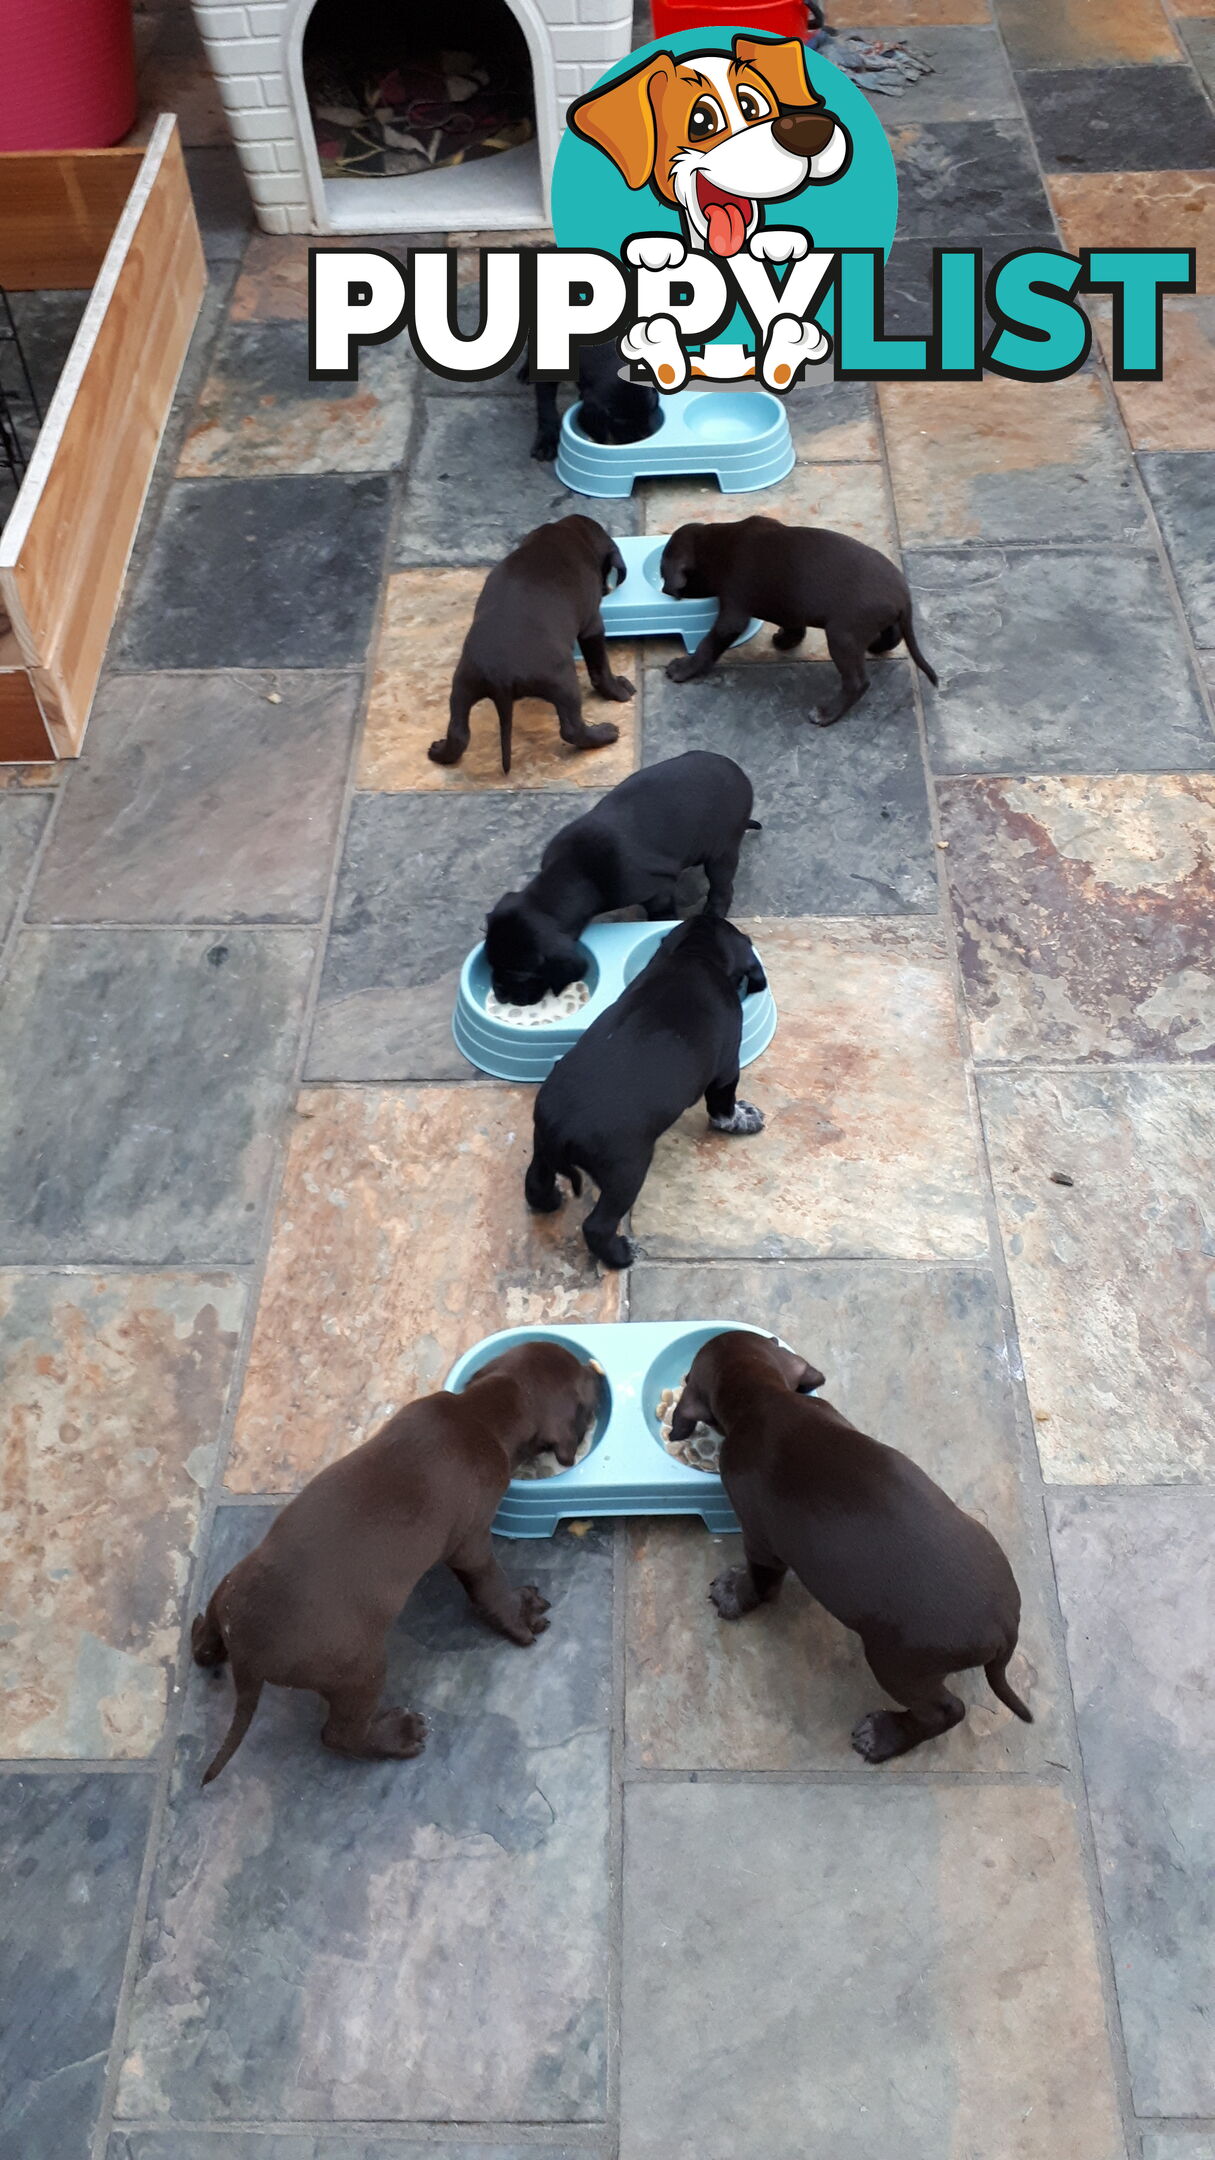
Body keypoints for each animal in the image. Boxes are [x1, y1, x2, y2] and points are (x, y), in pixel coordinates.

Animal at [428, 514, 635, 777]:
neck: (563, 534)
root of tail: (501, 676)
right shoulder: (592, 625)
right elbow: (600, 668)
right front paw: (618, 689)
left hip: (463, 684)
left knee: (459, 732)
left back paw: (440, 752)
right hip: (563, 681)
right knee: (571, 729)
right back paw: (604, 734)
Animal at [479, 747, 748, 1006]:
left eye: (520, 975)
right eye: (491, 962)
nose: (500, 994)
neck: (575, 871)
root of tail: (737, 771)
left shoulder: (657, 891)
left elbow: (661, 913)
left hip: (722, 852)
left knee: (723, 888)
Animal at [523, 907, 765, 1261]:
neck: (695, 955)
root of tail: (561, 1128)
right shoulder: (725, 1069)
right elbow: (723, 1107)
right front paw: (743, 1118)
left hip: (541, 1143)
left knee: (534, 1181)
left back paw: (551, 1200)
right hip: (627, 1170)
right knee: (596, 1225)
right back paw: (622, 1254)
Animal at [661, 514, 938, 725]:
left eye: (663, 572)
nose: (664, 590)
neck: (719, 544)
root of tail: (903, 596)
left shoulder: (734, 610)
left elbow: (709, 645)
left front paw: (684, 668)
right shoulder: (790, 604)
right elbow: (794, 625)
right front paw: (786, 640)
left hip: (842, 636)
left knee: (858, 682)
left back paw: (827, 714)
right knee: (893, 635)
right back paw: (875, 646)